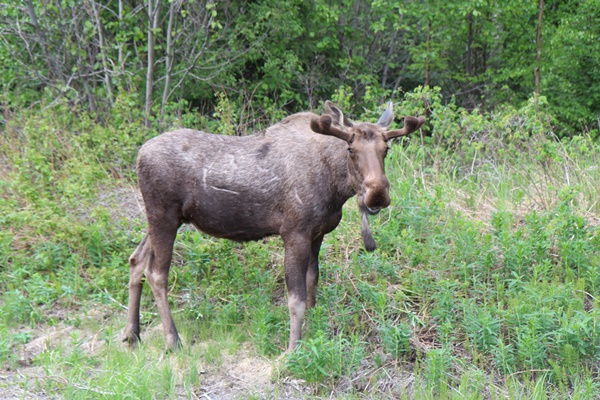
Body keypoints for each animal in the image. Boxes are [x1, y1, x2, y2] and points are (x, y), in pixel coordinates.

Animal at [125, 101, 426, 354]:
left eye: (386, 149)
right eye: (351, 149)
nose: (377, 194)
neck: (336, 188)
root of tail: (139, 155)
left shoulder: (317, 234)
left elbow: (312, 283)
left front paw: (312, 331)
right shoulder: (294, 233)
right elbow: (295, 298)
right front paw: (292, 349)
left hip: (164, 219)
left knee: (136, 260)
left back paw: (132, 334)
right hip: (163, 216)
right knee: (156, 273)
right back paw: (172, 340)